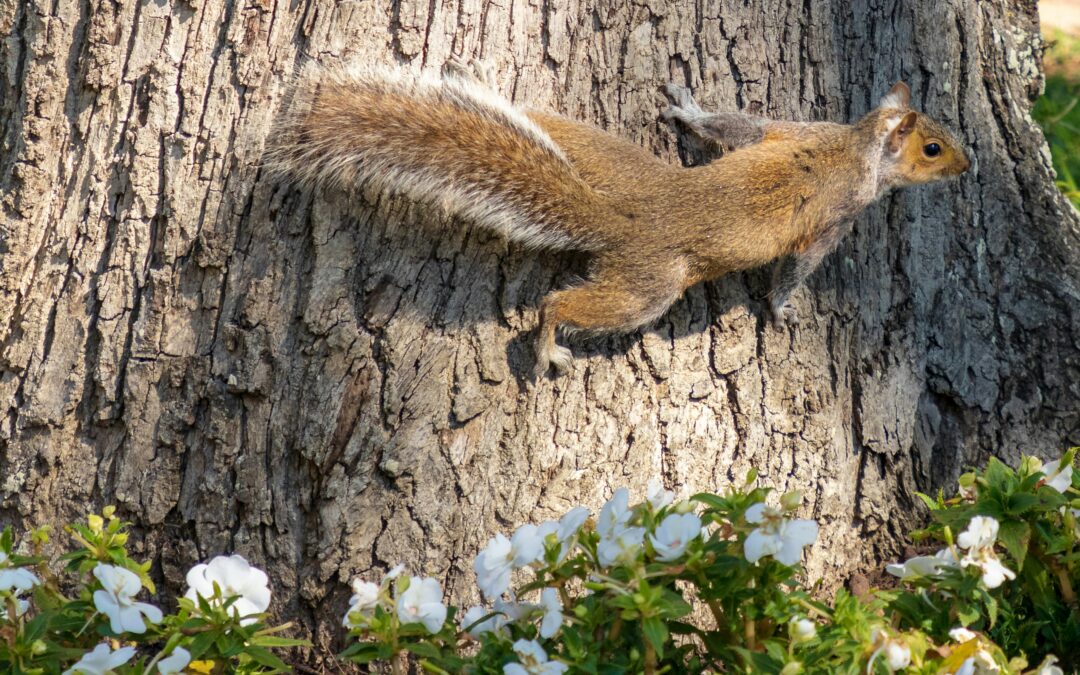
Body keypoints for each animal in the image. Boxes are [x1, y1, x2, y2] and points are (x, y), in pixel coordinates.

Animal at [266, 59, 970, 378]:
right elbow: (797, 267)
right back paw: (548, 347)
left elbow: (736, 127)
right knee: (559, 302)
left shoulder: (786, 129)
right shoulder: (836, 215)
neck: (856, 146)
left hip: (605, 158)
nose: (968, 165)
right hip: (647, 289)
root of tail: (623, 218)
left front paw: (688, 110)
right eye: (933, 148)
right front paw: (783, 310)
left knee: (545, 125)